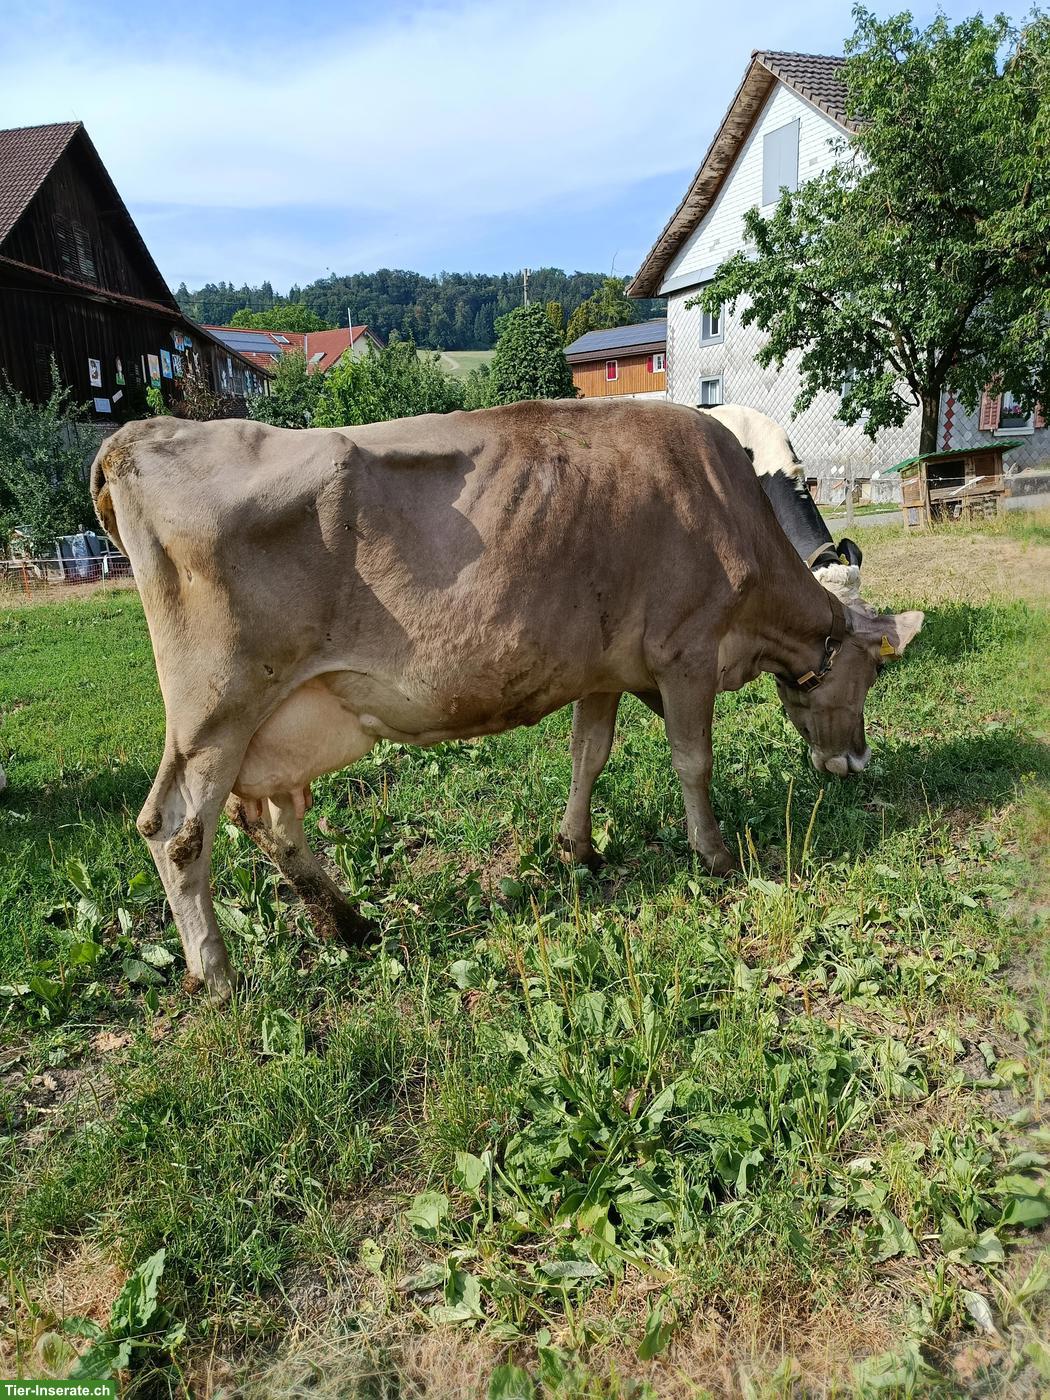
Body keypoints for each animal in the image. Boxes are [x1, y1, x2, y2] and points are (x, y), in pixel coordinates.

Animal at [91, 400, 922, 999]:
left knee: (268, 819)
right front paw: (715, 854)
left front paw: (577, 846)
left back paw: (348, 922)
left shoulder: (602, 669)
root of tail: (138, 435)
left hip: (277, 718)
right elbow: (694, 760)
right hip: (216, 707)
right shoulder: (684, 652)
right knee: (176, 829)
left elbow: (590, 754)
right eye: (873, 673)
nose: (856, 761)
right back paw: (218, 973)